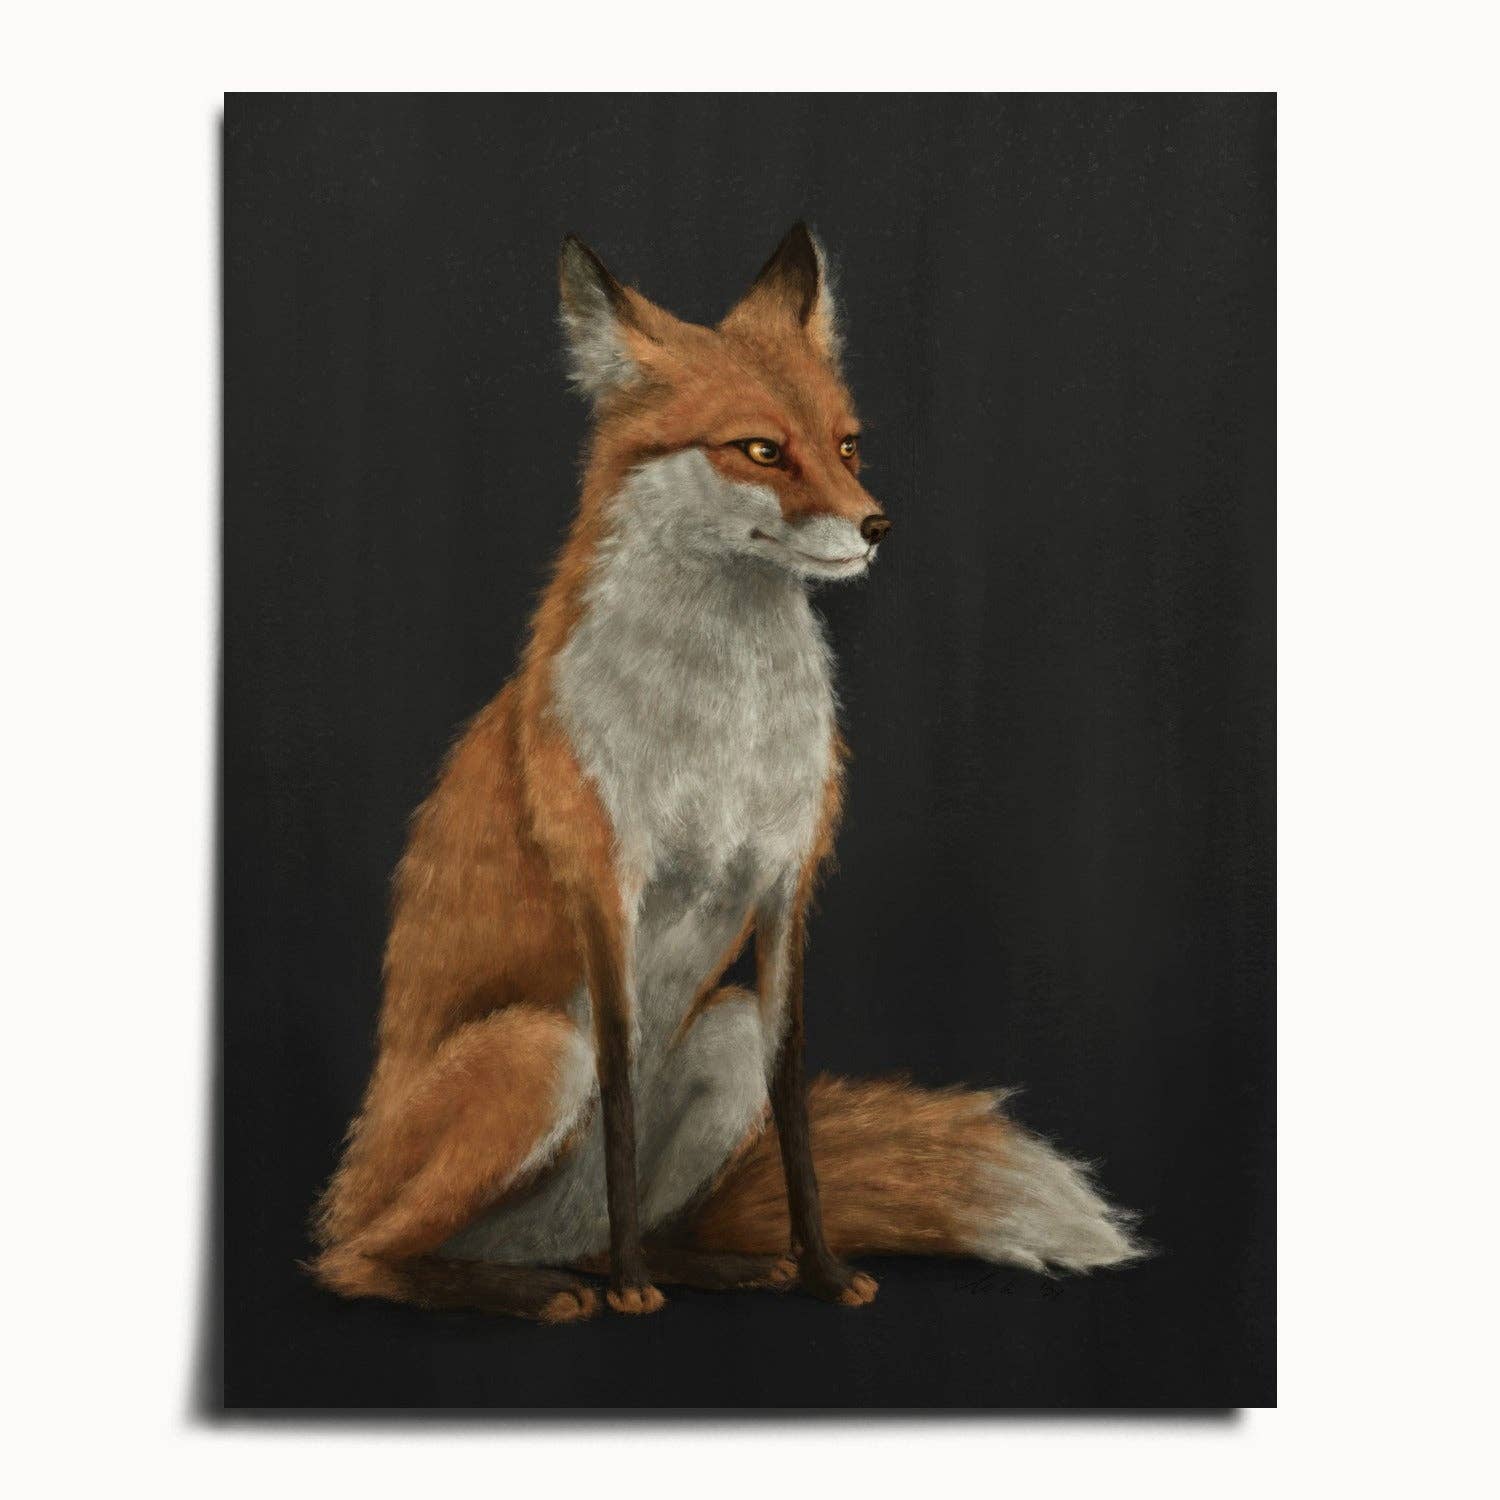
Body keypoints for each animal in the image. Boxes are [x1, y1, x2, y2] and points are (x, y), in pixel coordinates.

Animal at [310, 223, 1143, 1322]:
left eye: (847, 444)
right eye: (759, 449)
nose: (877, 526)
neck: (724, 728)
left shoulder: (787, 884)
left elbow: (794, 1110)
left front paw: (822, 1270)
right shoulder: (607, 886)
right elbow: (621, 1097)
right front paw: (634, 1292)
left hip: (723, 1032)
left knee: (602, 1228)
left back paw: (701, 1265)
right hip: (535, 1051)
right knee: (359, 1260)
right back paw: (544, 1288)